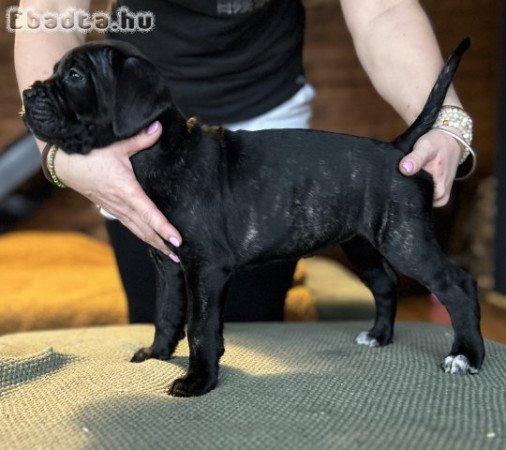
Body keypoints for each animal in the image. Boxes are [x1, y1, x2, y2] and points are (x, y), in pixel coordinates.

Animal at [22, 38, 482, 398]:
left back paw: (466, 355)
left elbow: (200, 326)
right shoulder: (168, 264)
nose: (27, 93)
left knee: (458, 285)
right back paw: (379, 336)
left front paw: (199, 381)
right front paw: (157, 354)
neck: (161, 151)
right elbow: (167, 313)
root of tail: (398, 149)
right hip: (363, 244)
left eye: (75, 76)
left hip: (405, 240)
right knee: (385, 284)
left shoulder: (206, 268)